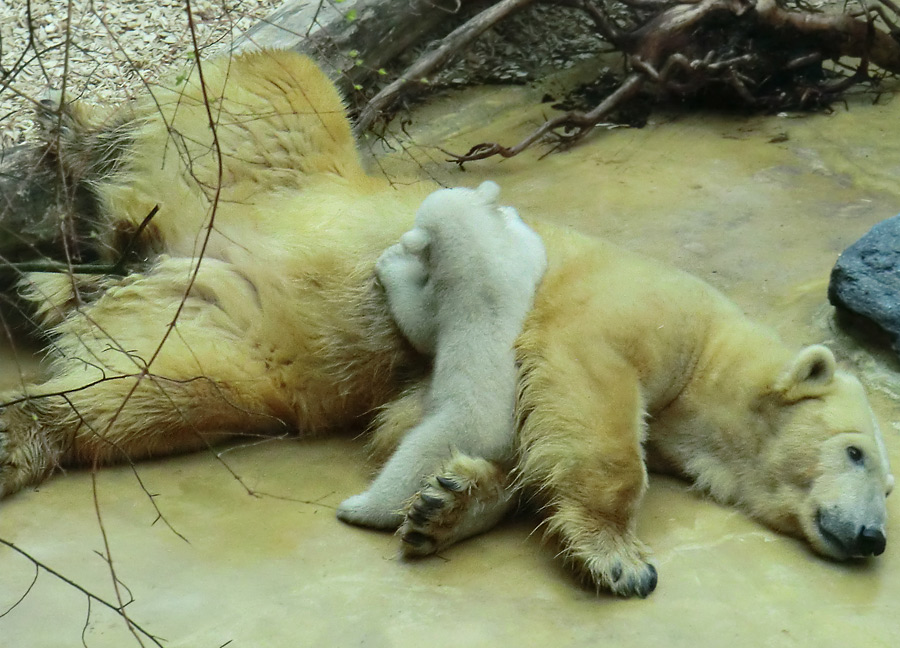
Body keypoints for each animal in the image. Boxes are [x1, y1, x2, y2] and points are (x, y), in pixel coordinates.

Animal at [1, 50, 892, 596]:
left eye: (888, 487)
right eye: (856, 452)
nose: (874, 538)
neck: (713, 351)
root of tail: (170, 249)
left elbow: (469, 435)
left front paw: (444, 505)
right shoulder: (628, 309)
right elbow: (587, 390)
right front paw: (620, 559)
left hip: (232, 320)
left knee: (161, 386)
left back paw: (39, 334)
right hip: (252, 147)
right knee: (255, 86)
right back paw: (67, 124)